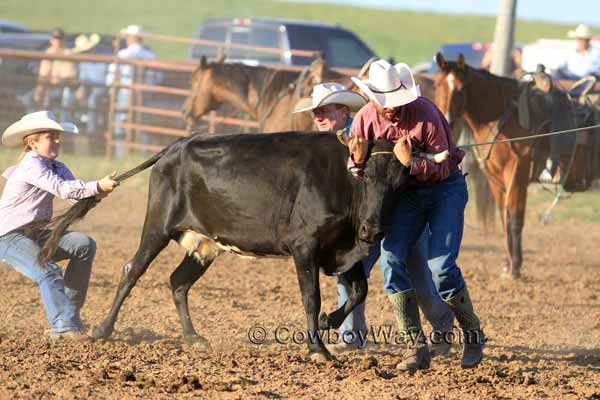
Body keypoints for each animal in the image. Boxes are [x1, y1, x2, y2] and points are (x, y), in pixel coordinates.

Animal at [434, 53, 588, 278]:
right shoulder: (495, 179)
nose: (445, 120)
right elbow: (504, 218)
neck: (502, 119)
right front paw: (508, 265)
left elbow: (515, 220)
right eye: (436, 85)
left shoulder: (517, 175)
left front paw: (515, 267)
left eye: (461, 88)